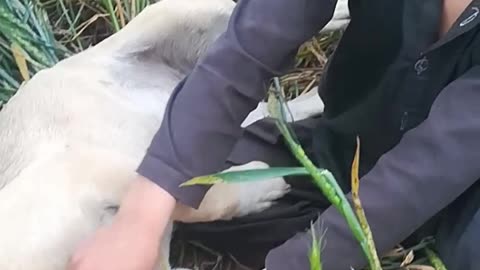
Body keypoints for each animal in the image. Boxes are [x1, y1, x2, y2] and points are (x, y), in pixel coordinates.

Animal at [0, 0, 348, 270]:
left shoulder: (84, 171)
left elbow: (199, 198)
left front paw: (262, 186)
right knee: (278, 111)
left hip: (179, 14)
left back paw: (341, 14)